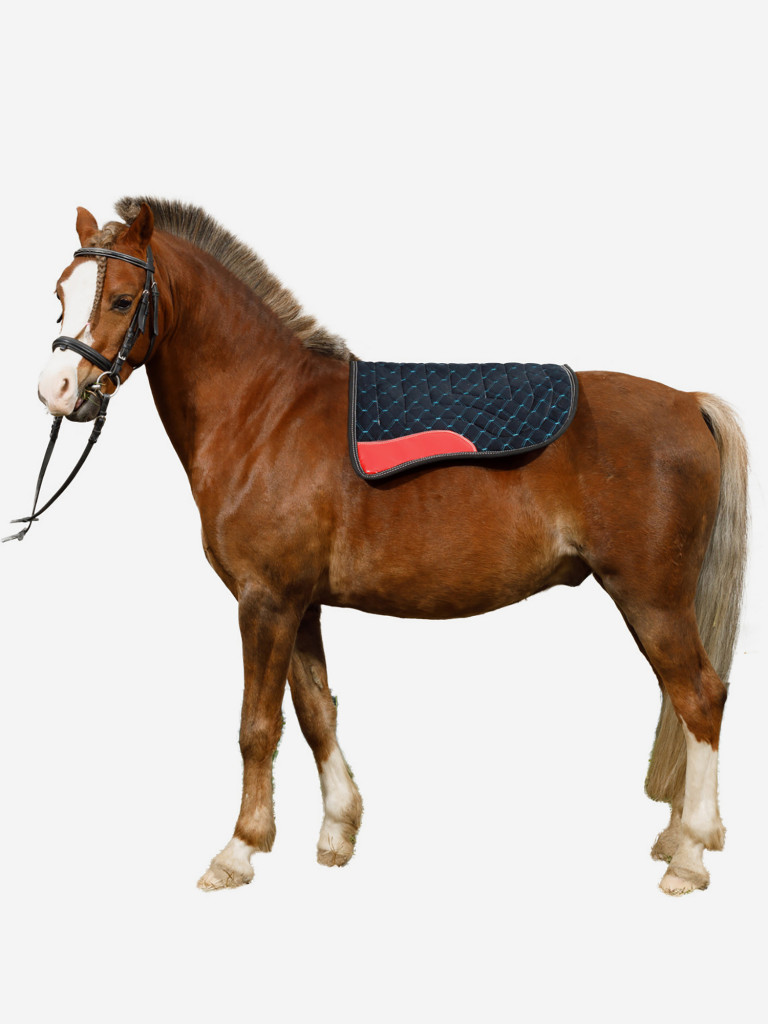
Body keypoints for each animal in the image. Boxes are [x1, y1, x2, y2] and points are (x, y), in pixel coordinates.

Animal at [31, 197, 748, 896]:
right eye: (62, 293)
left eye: (123, 300)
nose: (56, 390)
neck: (267, 412)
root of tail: (690, 402)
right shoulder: (300, 605)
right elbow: (316, 713)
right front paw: (337, 831)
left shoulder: (265, 601)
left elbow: (256, 727)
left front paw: (239, 850)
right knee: (683, 701)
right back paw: (677, 838)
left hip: (651, 597)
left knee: (700, 697)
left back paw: (690, 856)